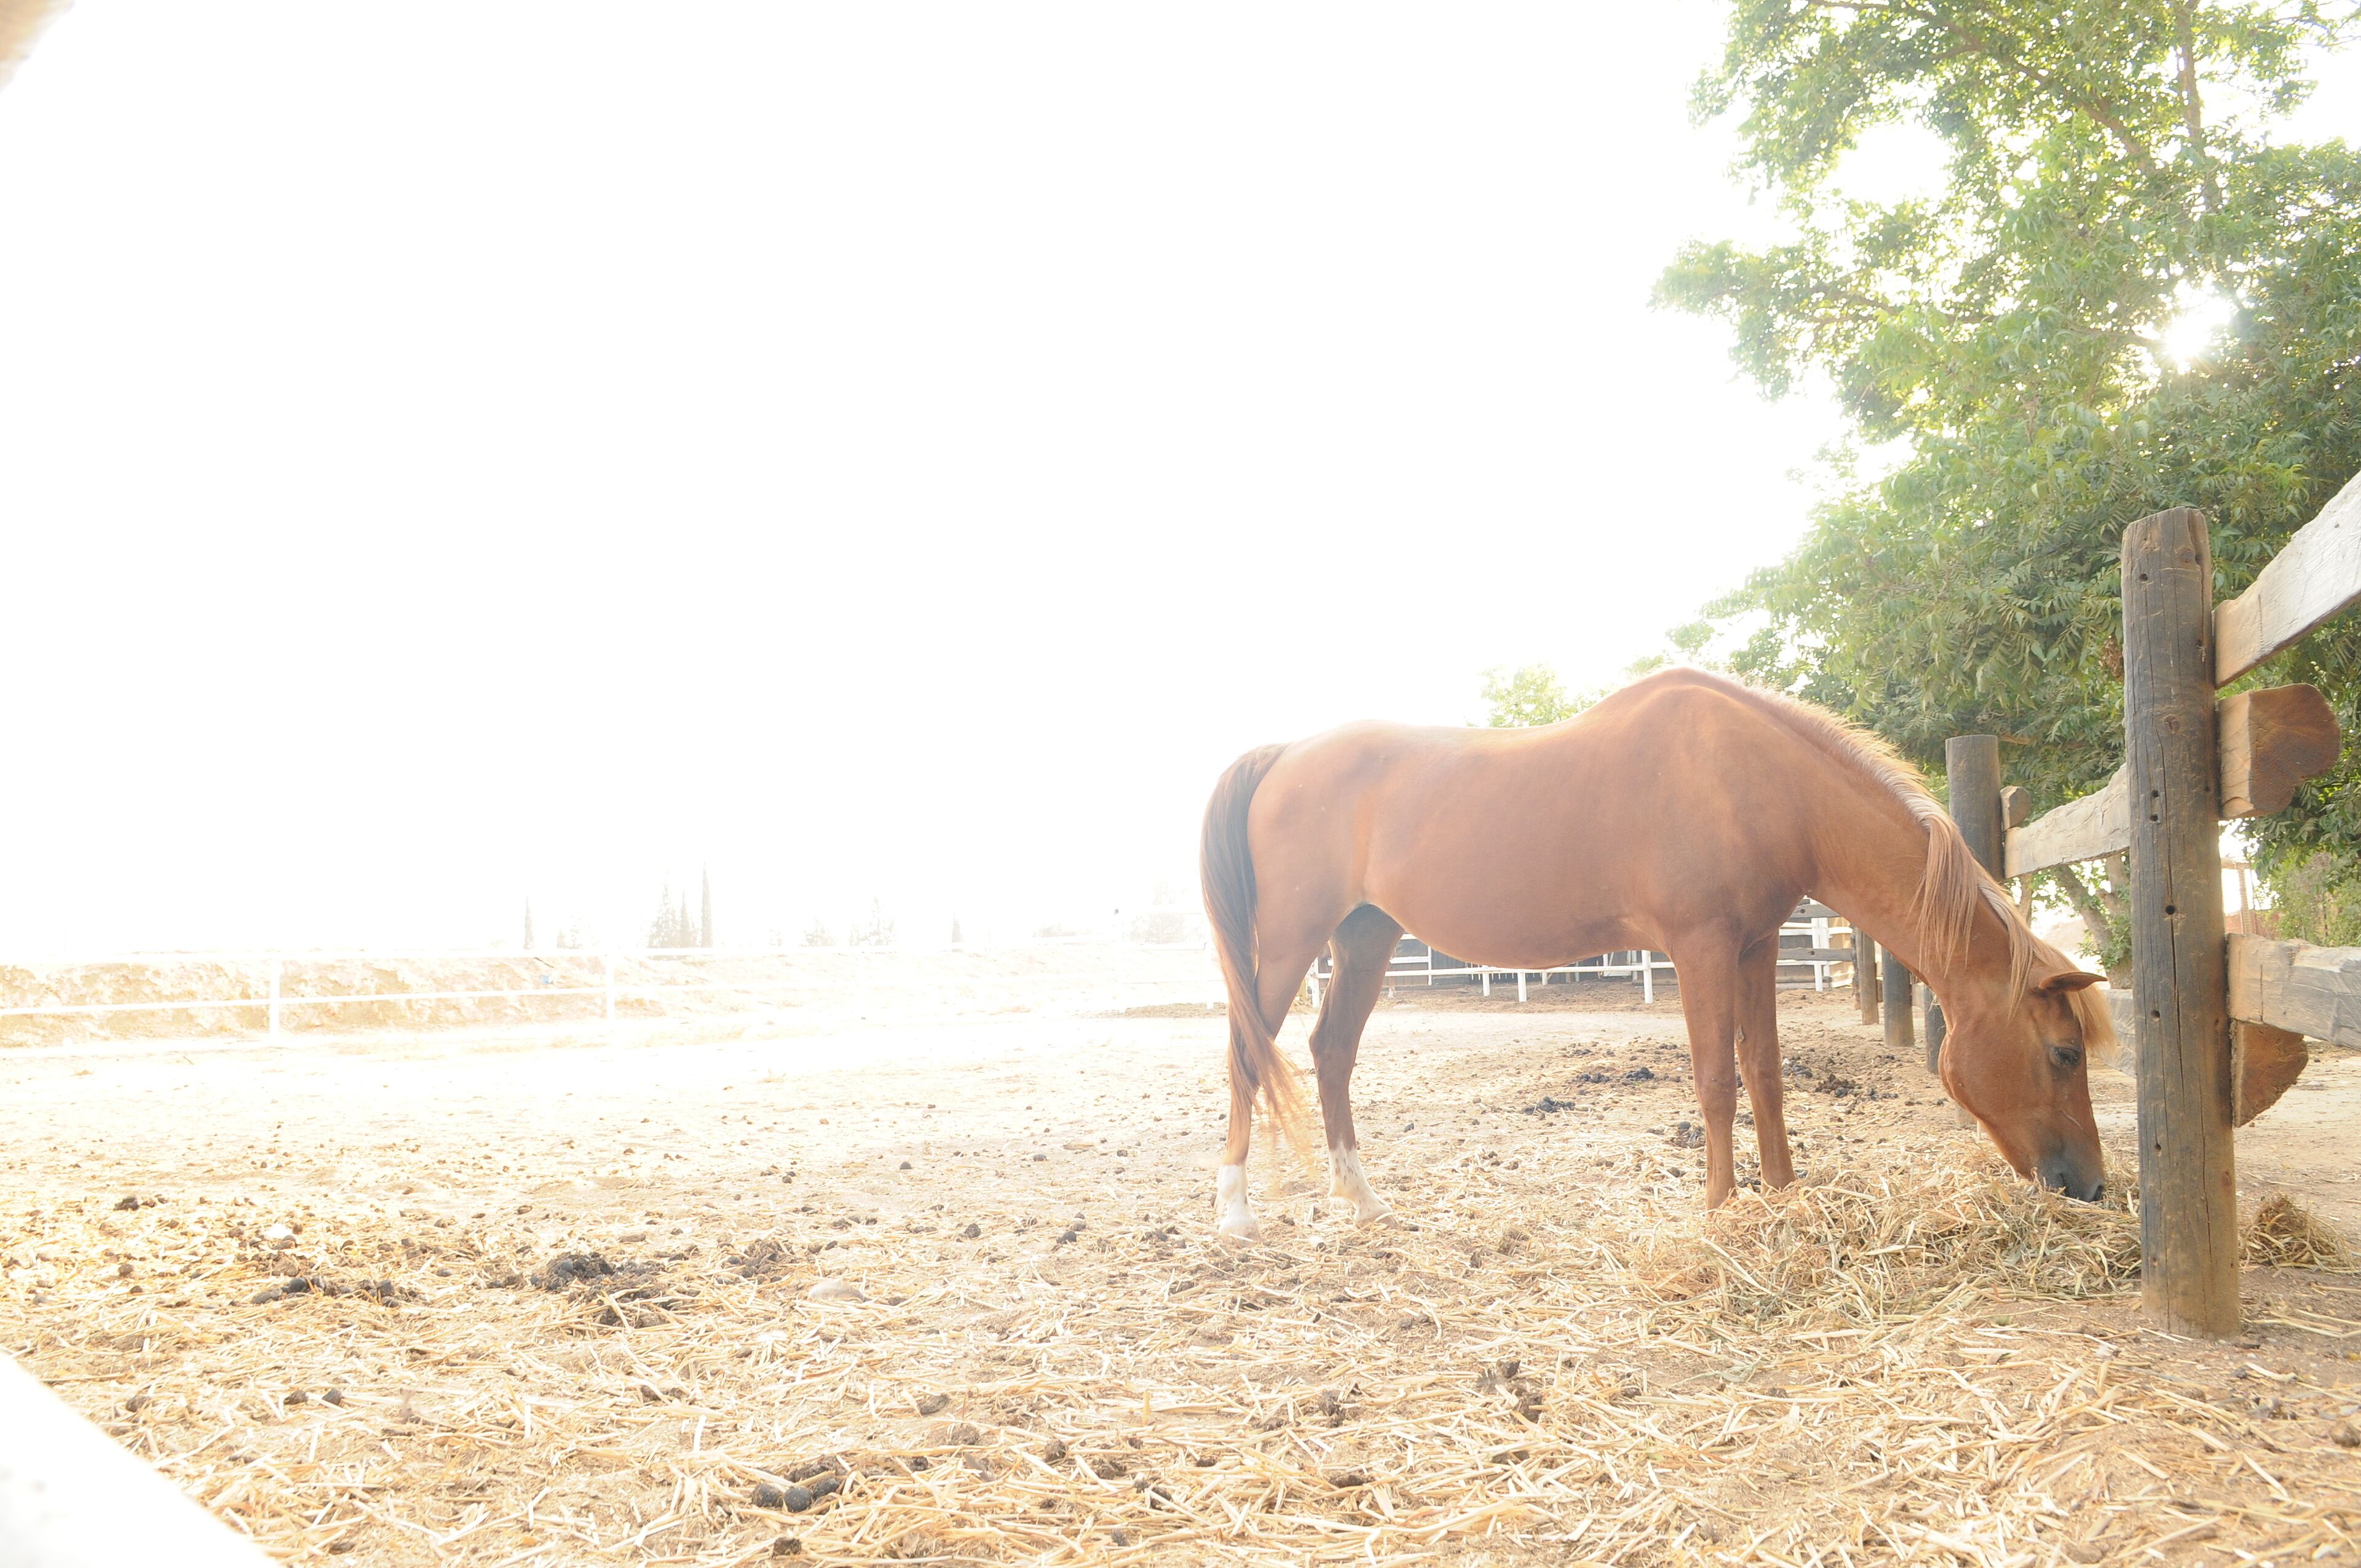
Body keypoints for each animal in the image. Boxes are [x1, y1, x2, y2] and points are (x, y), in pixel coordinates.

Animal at [1197, 666, 2112, 1239]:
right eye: (2064, 1051)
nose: (2094, 1185)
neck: (1758, 782)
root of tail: (1283, 755)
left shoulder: (1754, 947)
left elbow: (1766, 1075)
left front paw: (1784, 1196)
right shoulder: (1700, 946)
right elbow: (1715, 1082)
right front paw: (1720, 1208)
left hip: (1365, 936)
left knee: (1330, 1052)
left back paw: (1365, 1202)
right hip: (1289, 943)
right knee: (1248, 1050)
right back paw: (1236, 1213)